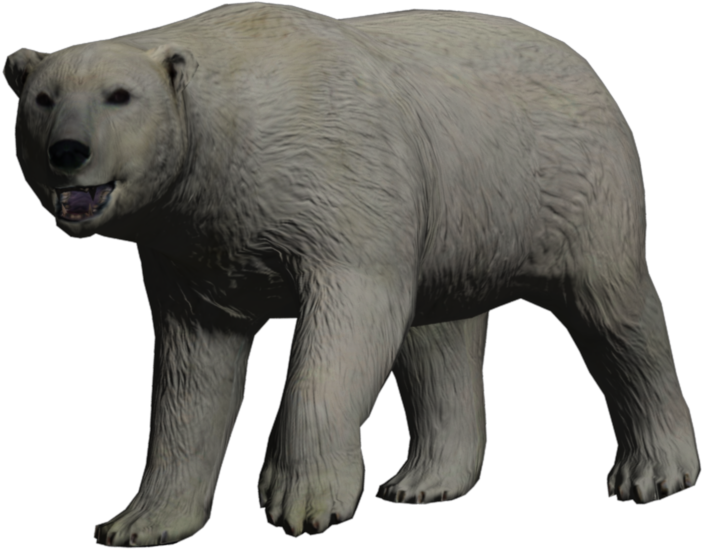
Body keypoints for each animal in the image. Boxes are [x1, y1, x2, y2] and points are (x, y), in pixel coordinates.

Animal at [4, 2, 699, 544]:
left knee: (616, 312)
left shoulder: (337, 179)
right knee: (439, 338)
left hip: (576, 181)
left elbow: (349, 322)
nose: (68, 152)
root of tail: (581, 63)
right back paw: (424, 480)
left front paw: (297, 498)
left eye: (120, 96)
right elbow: (193, 371)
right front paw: (138, 522)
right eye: (43, 98)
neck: (229, 132)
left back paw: (654, 470)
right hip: (456, 211)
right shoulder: (193, 243)